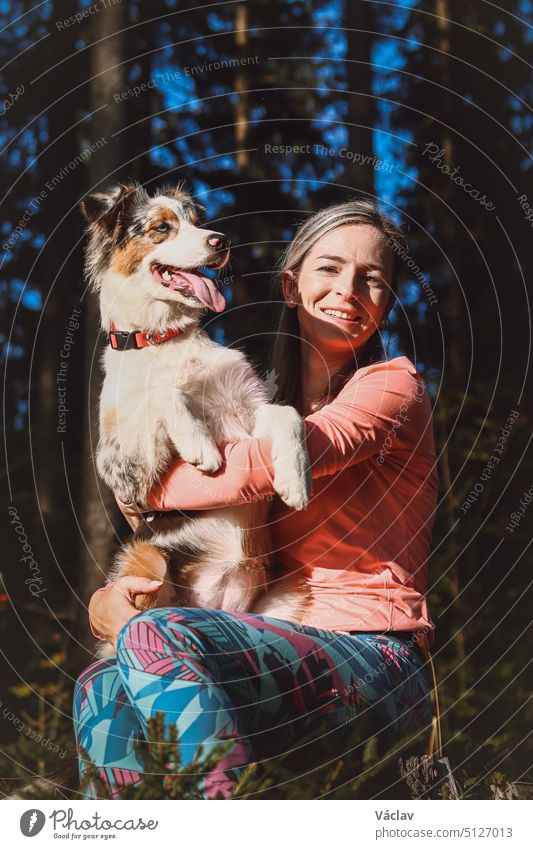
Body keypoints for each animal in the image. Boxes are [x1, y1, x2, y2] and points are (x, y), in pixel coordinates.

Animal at [80, 182, 312, 660]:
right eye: (161, 228)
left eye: (196, 221)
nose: (222, 241)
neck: (165, 337)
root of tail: (219, 603)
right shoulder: (121, 470)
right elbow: (162, 393)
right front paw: (200, 445)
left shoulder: (247, 409)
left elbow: (288, 414)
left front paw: (295, 479)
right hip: (146, 561)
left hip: (290, 592)